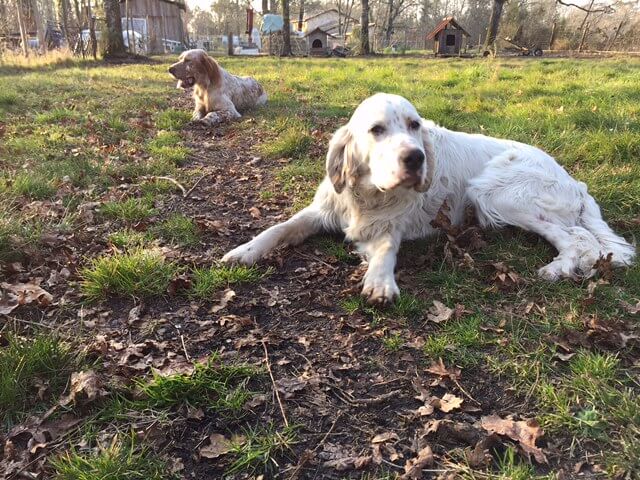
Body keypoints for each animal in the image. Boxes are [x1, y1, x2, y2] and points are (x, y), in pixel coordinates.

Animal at [222, 94, 632, 304]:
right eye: (377, 129)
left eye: (414, 125)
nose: (415, 158)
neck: (369, 195)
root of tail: (573, 180)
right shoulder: (320, 211)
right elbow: (278, 228)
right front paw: (244, 252)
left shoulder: (391, 226)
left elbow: (386, 250)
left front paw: (380, 281)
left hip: (495, 192)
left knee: (581, 241)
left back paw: (556, 269)